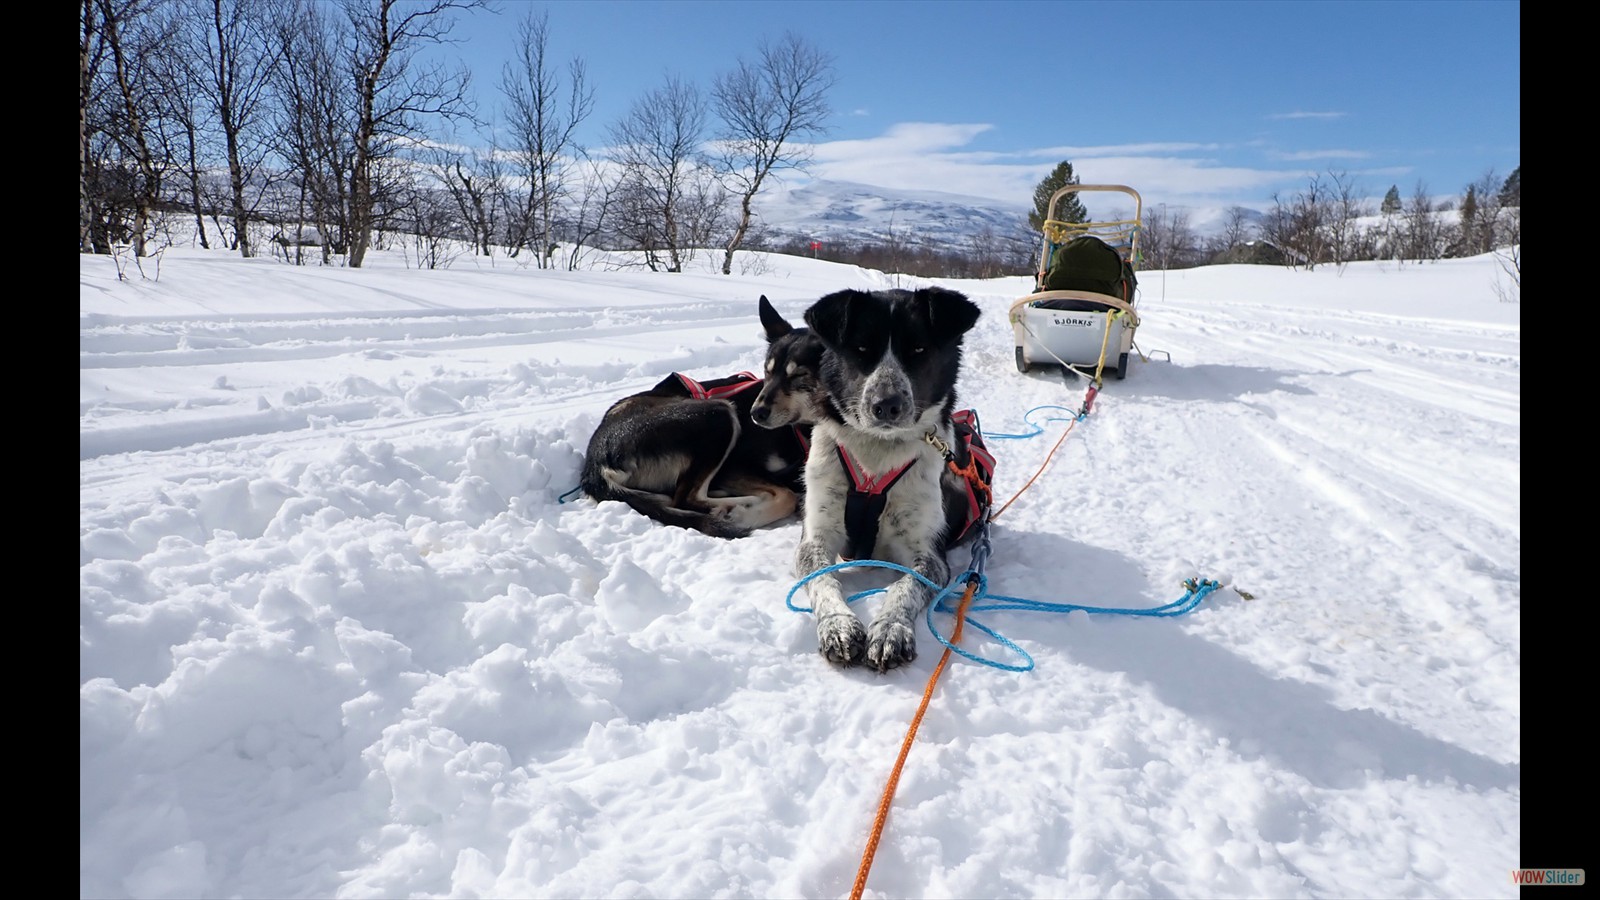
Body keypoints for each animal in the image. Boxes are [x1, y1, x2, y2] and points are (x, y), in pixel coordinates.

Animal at [579, 294, 812, 534]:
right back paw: (730, 506)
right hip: (718, 414)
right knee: (683, 499)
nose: (756, 413)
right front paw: (746, 515)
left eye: (799, 375)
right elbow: (787, 496)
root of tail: (595, 463)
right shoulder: (734, 466)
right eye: (768, 372)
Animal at [796, 283, 985, 669]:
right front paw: (838, 625)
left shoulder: (927, 551)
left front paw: (890, 630)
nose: (886, 404)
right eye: (861, 349)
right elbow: (824, 580)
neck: (876, 458)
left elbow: (904, 586)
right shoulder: (816, 536)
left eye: (919, 349)